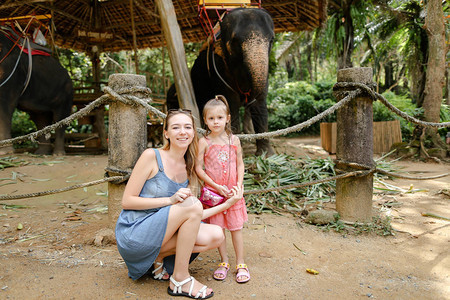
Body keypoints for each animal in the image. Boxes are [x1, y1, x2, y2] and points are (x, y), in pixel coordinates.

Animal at [0, 26, 73, 155]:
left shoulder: (12, 73)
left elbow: (6, 104)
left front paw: (5, 153)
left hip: (66, 92)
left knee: (60, 119)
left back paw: (58, 154)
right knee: (41, 119)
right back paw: (41, 153)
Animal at [167, 8, 274, 156]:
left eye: (272, 40)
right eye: (234, 41)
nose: (247, 97)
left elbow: (260, 103)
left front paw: (266, 155)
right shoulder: (218, 68)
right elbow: (231, 102)